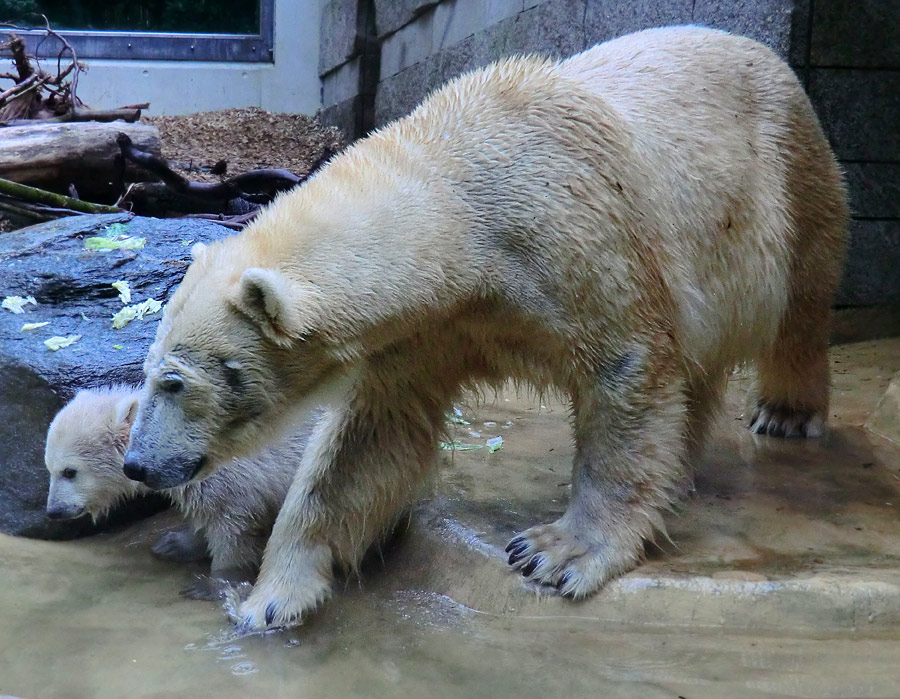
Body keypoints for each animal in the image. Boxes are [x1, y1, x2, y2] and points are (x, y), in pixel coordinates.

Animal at [123, 26, 848, 628]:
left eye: (174, 381)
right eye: (147, 372)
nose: (137, 463)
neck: (468, 203)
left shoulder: (582, 244)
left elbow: (628, 374)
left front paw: (558, 551)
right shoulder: (428, 329)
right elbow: (369, 440)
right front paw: (270, 598)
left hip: (788, 176)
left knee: (803, 300)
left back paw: (786, 410)